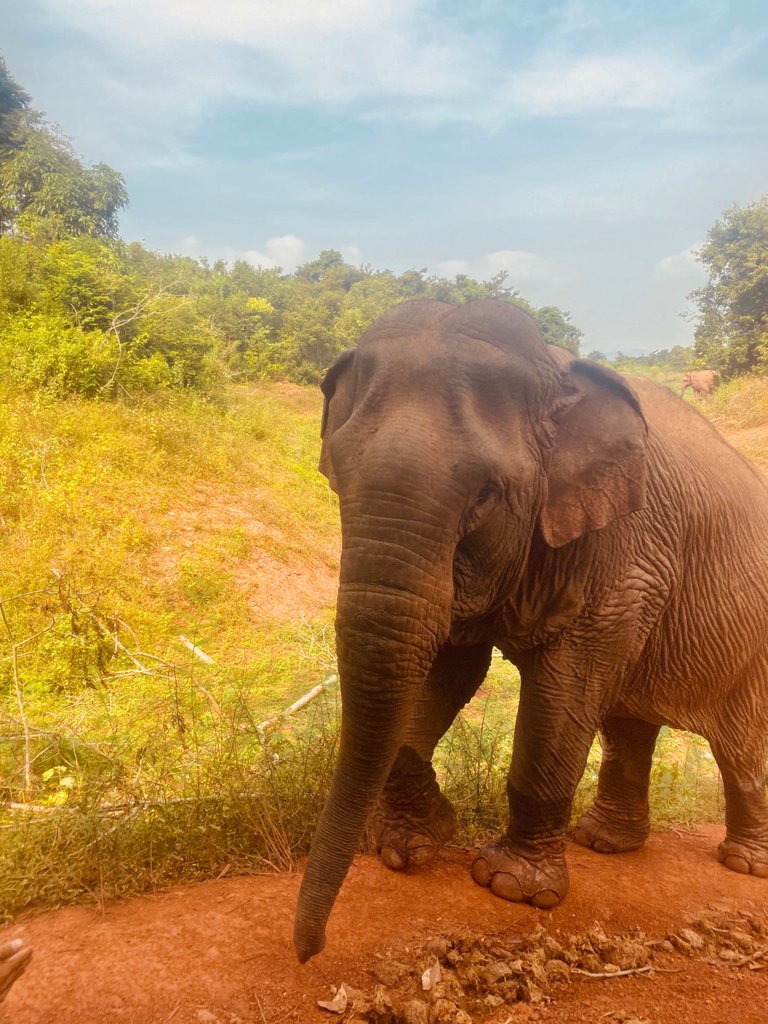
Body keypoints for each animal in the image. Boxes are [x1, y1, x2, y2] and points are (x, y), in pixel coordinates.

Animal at [292, 299, 768, 962]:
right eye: (336, 475)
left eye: (486, 496)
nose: (309, 951)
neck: (554, 371)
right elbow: (451, 665)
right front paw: (412, 846)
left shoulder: (626, 549)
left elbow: (565, 686)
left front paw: (511, 888)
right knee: (628, 722)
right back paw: (605, 843)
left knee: (741, 743)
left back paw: (745, 865)